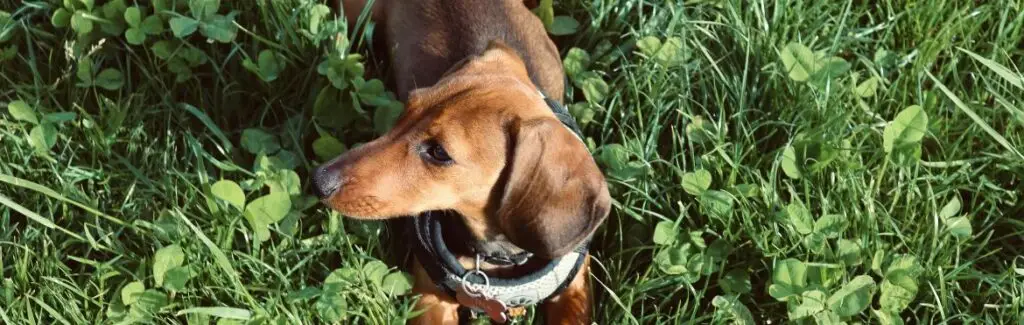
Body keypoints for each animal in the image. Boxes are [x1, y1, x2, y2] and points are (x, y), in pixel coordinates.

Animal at [313, 1, 606, 321]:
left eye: (440, 153)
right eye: (408, 107)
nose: (319, 181)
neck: (496, 256)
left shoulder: (575, 288)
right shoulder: (430, 298)